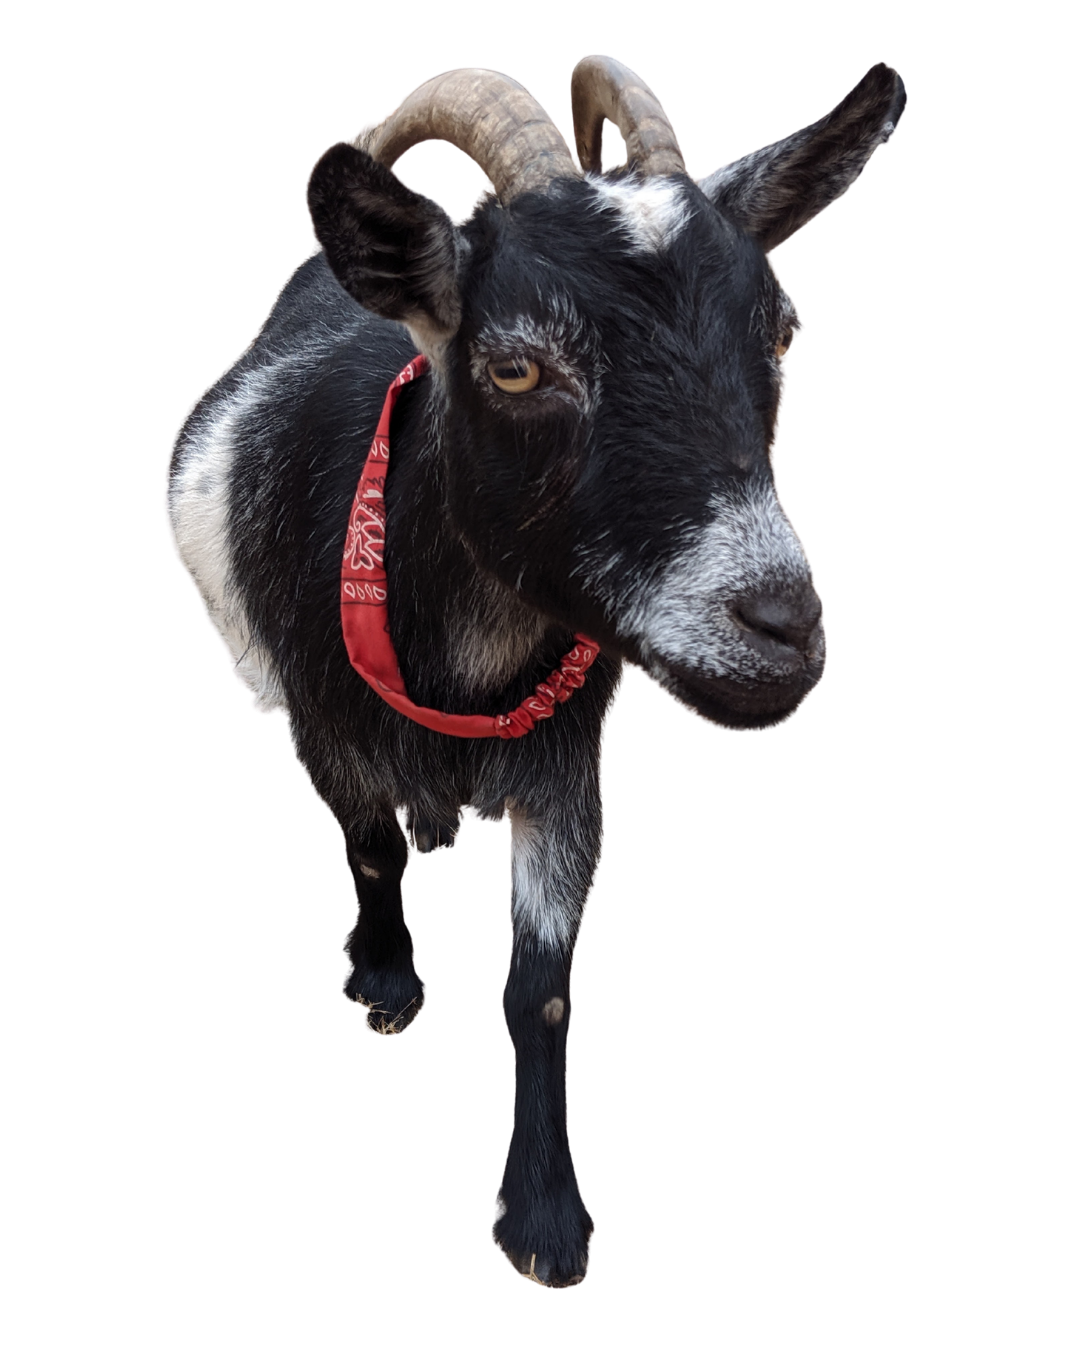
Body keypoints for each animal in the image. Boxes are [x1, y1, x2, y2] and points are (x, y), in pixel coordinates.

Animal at [164, 55, 905, 1287]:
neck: (459, 676)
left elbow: (541, 990)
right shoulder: (330, 733)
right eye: (515, 366)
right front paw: (384, 987)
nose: (779, 627)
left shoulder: (566, 776)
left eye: (786, 335)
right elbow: (368, 847)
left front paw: (545, 1221)